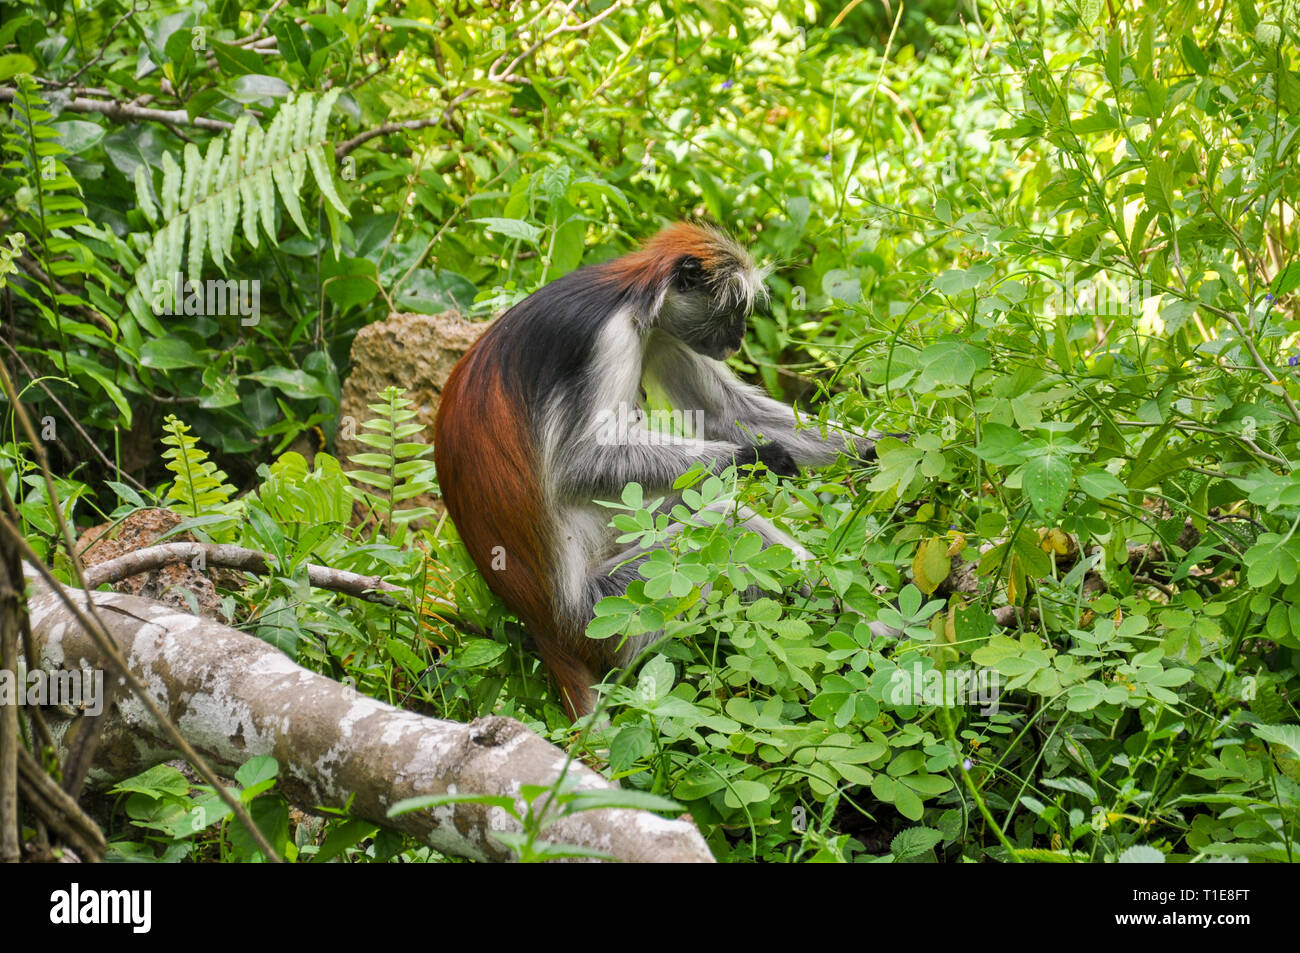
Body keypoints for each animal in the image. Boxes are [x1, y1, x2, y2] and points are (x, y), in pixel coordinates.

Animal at [434, 221, 873, 712]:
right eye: (734, 310)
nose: (739, 337)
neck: (629, 295)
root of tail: (548, 631)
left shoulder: (661, 330)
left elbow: (729, 415)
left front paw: (884, 449)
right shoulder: (610, 337)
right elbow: (576, 466)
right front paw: (759, 459)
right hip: (613, 608)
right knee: (725, 519)